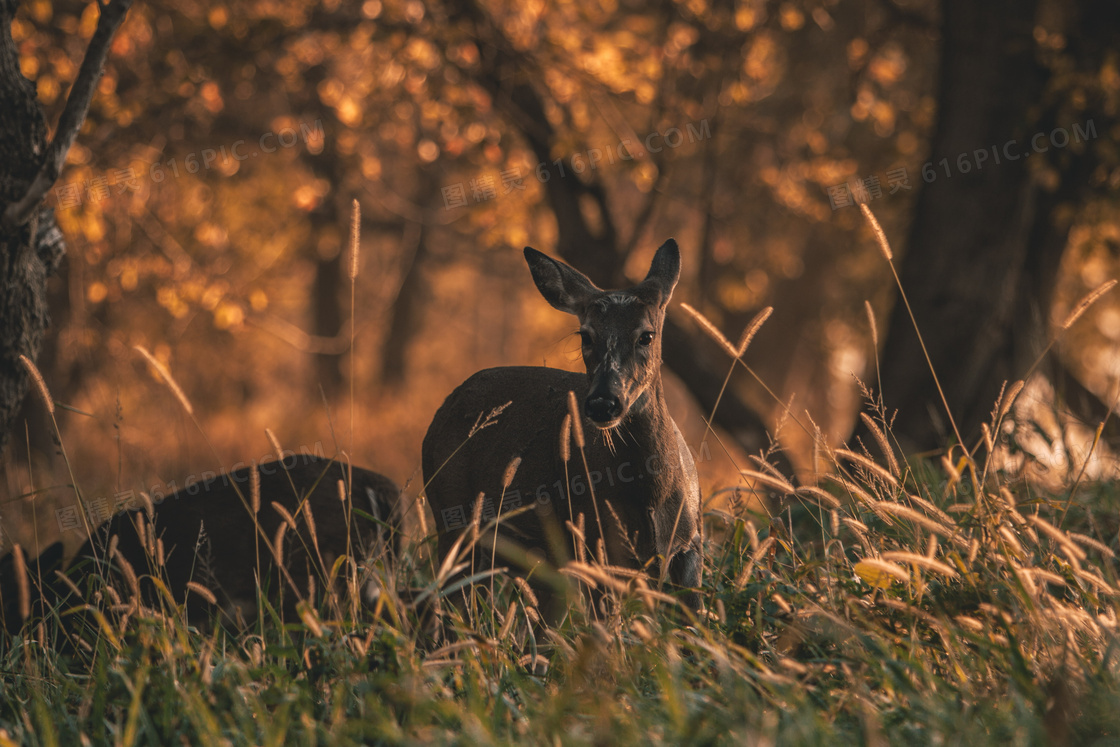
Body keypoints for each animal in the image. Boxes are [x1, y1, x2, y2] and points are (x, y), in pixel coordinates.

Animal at [421, 240, 698, 618]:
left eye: (646, 335)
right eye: (586, 335)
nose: (602, 403)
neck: (652, 497)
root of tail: (440, 413)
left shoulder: (690, 549)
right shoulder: (598, 546)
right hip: (454, 523)